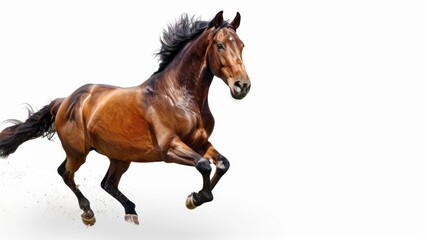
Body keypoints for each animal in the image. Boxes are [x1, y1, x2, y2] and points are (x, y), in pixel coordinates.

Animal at [0, 10, 251, 226]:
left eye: (241, 45)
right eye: (220, 45)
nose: (242, 86)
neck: (179, 96)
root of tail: (64, 101)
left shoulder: (199, 143)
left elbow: (223, 164)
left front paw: (197, 197)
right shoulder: (170, 148)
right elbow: (203, 165)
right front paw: (194, 198)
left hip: (120, 156)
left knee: (107, 183)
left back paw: (130, 211)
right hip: (78, 152)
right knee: (66, 173)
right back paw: (88, 212)